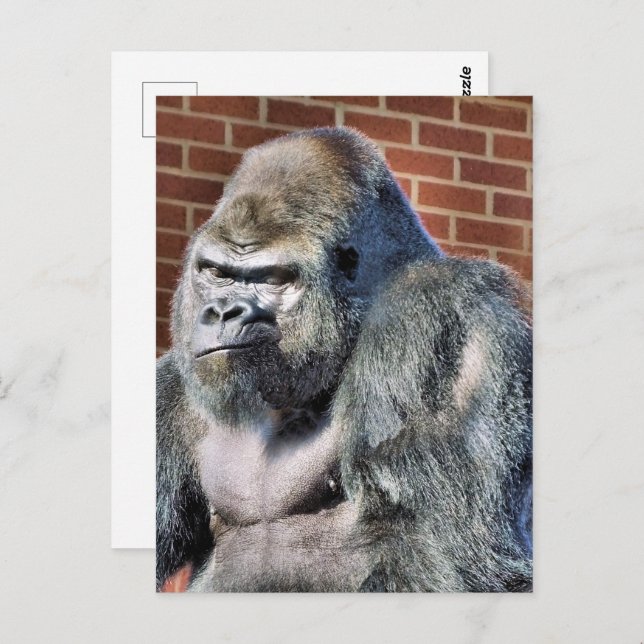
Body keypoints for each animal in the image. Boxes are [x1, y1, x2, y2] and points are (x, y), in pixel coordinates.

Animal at [156, 126, 532, 592]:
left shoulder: (438, 315)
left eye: (274, 279)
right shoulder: (170, 391)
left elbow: (453, 558)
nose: (225, 312)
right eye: (216, 273)